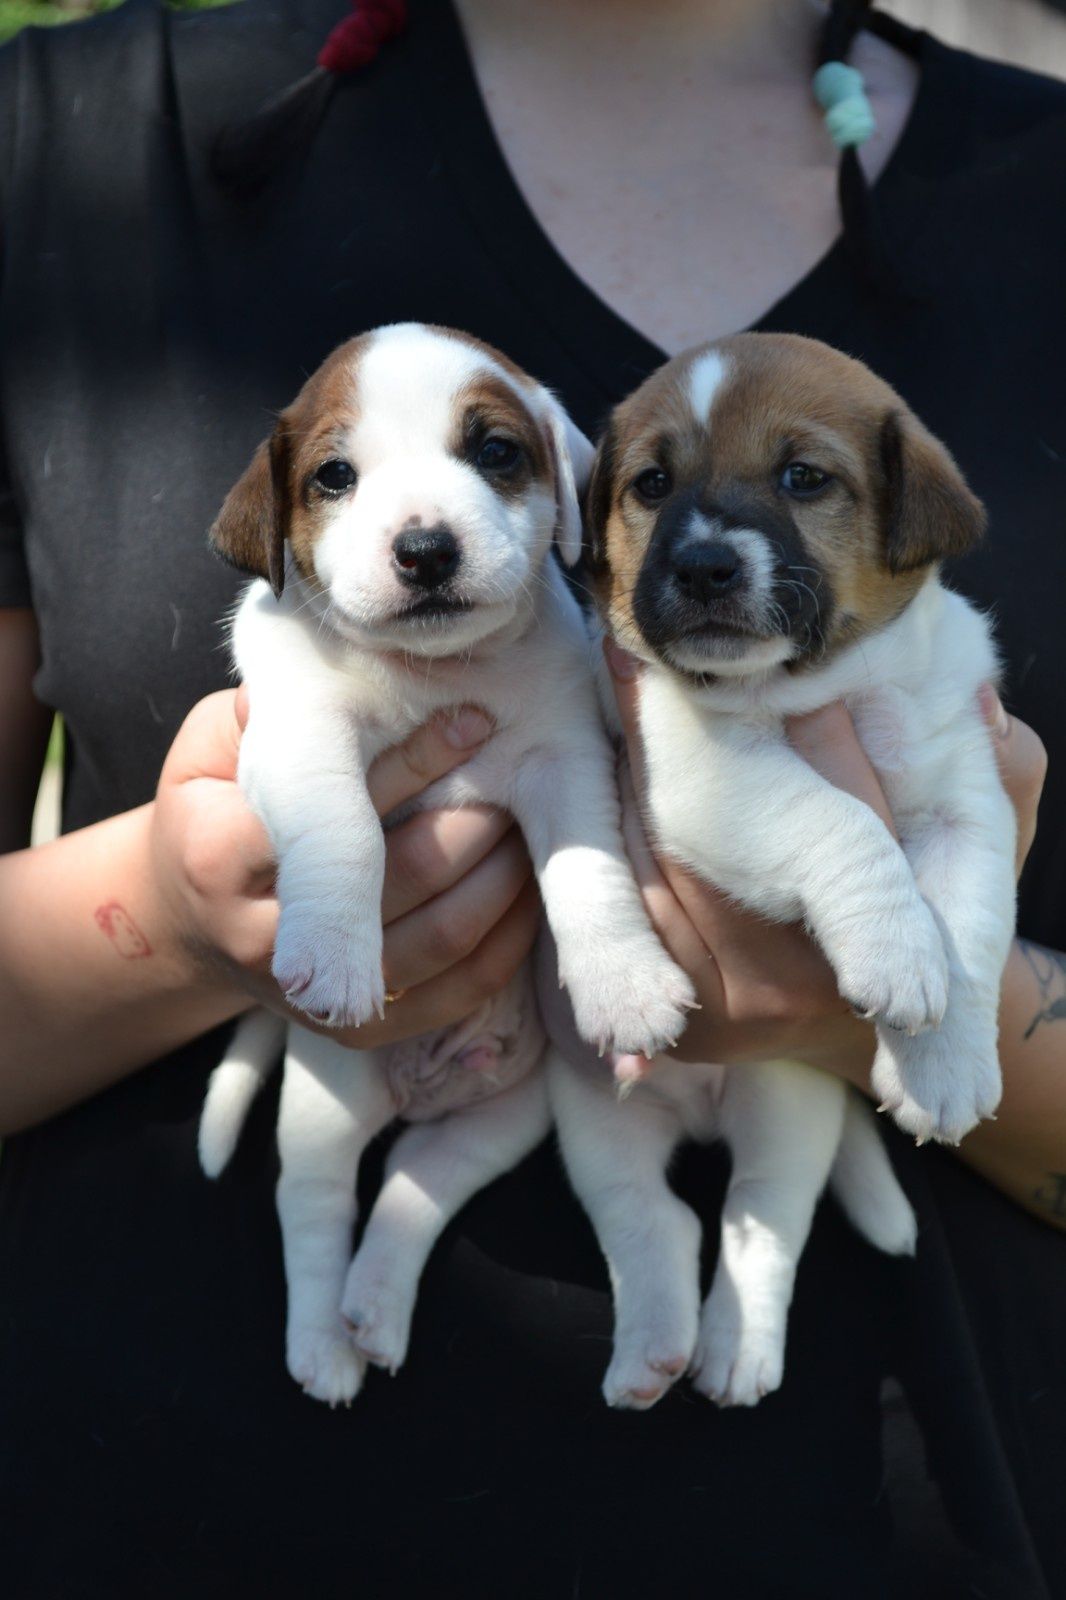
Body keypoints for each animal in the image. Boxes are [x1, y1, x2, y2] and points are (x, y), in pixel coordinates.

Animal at [196, 321, 688, 1401]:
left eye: (495, 452)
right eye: (335, 475)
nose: (425, 549)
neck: (432, 675)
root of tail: (420, 1086)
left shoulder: (562, 759)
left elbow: (588, 874)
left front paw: (624, 982)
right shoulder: (300, 735)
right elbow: (344, 825)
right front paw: (338, 953)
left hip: (499, 1118)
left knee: (413, 1186)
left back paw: (374, 1310)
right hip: (324, 1103)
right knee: (316, 1204)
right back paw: (323, 1343)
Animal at [544, 331, 1011, 1408]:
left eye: (804, 477)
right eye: (652, 483)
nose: (704, 564)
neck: (824, 686)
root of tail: (702, 1108)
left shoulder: (969, 804)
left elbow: (967, 929)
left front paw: (947, 1062)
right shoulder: (707, 771)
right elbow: (842, 822)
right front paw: (895, 952)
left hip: (785, 1106)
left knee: (763, 1216)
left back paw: (732, 1346)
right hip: (594, 1115)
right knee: (652, 1216)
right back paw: (655, 1351)